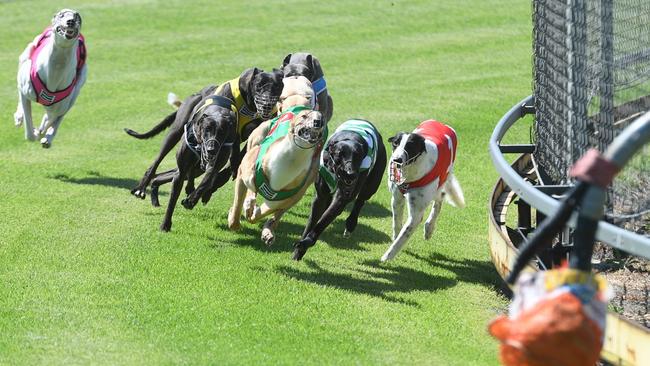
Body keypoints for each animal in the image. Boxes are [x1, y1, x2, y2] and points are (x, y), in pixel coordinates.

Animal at [13, 8, 86, 147]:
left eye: (76, 16)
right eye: (61, 15)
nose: (71, 21)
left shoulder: (60, 105)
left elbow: (52, 119)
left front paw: (43, 134)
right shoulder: (25, 92)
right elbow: (29, 132)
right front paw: (33, 131)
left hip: (76, 90)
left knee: (55, 117)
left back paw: (48, 137)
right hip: (26, 56)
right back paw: (19, 117)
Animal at [228, 104, 324, 244]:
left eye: (322, 119)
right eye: (304, 116)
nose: (318, 122)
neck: (292, 159)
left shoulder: (287, 196)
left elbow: (262, 212)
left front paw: (256, 216)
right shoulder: (243, 172)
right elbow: (239, 203)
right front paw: (237, 217)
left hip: (296, 195)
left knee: (277, 215)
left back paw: (268, 230)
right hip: (258, 136)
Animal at [292, 119, 384, 260]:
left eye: (358, 155)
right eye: (339, 154)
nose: (350, 174)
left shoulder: (342, 197)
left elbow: (323, 221)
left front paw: (306, 242)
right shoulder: (320, 196)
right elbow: (312, 221)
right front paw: (298, 251)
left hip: (372, 184)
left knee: (360, 201)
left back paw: (351, 224)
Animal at [382, 121, 464, 262]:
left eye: (410, 146)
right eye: (395, 143)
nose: (396, 160)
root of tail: (440, 123)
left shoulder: (416, 215)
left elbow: (402, 237)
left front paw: (387, 256)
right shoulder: (397, 199)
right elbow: (397, 224)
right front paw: (394, 238)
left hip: (442, 182)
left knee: (438, 203)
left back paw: (429, 228)